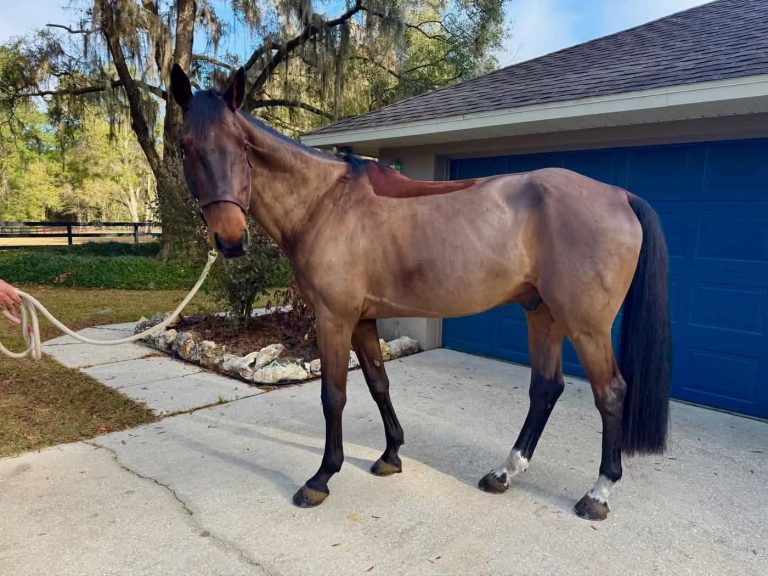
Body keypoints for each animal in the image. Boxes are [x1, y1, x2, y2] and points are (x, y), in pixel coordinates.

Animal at [170, 65, 671, 521]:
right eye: (185, 147)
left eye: (241, 148)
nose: (230, 240)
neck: (325, 202)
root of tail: (619, 194)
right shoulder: (363, 318)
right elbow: (378, 383)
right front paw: (391, 455)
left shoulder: (334, 317)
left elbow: (334, 395)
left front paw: (321, 478)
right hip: (542, 313)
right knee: (546, 387)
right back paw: (504, 474)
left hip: (586, 325)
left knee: (610, 392)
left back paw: (598, 493)